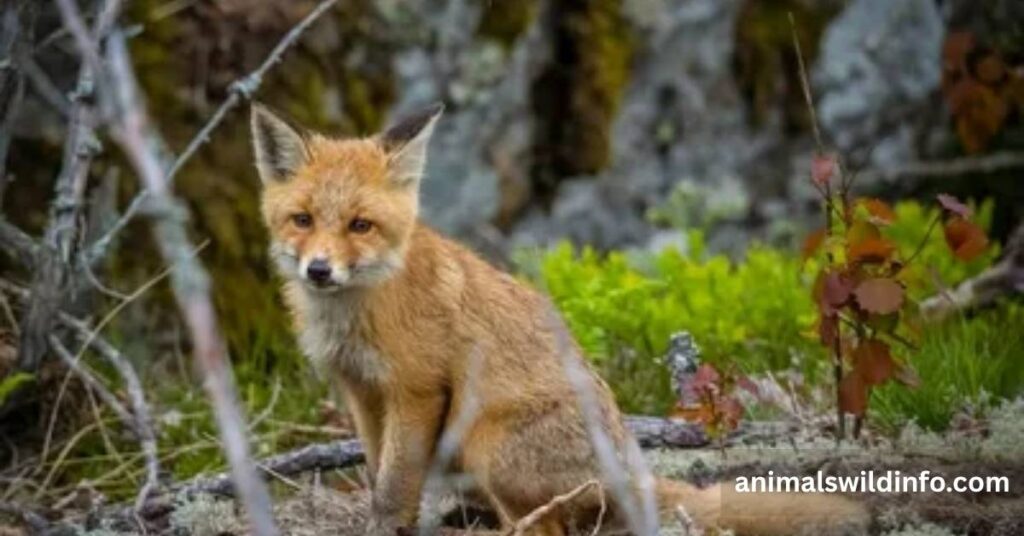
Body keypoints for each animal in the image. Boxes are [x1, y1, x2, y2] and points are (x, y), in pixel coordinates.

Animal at [251, 103, 870, 536]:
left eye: (360, 225)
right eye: (302, 220)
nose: (319, 270)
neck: (358, 312)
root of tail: (631, 465)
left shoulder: (417, 391)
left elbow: (392, 485)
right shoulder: (363, 393)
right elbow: (380, 470)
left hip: (486, 439)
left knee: (546, 527)